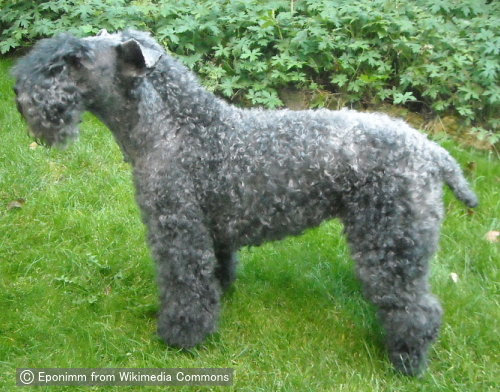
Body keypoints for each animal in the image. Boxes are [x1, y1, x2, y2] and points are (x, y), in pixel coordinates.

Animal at [11, 29, 478, 376]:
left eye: (75, 60)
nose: (17, 89)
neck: (175, 130)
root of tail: (431, 151)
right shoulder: (210, 231)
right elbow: (216, 271)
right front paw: (220, 295)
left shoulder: (176, 230)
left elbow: (184, 286)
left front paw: (180, 336)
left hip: (389, 240)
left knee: (417, 308)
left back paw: (406, 360)